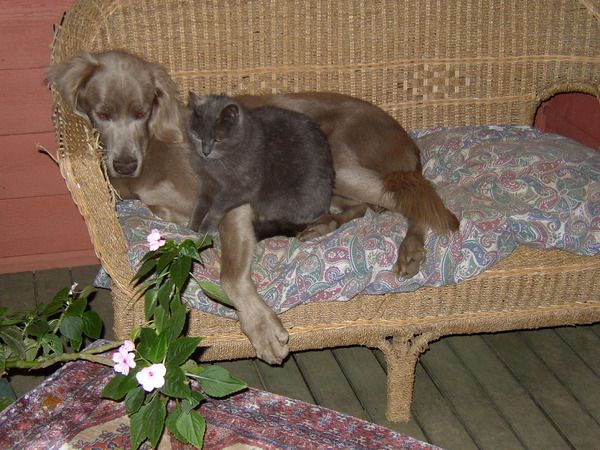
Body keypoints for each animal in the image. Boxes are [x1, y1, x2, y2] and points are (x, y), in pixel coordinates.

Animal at [186, 93, 335, 240]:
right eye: (198, 137)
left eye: (218, 139)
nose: (205, 152)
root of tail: (325, 209)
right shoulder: (208, 181)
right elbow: (201, 202)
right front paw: (193, 225)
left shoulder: (244, 186)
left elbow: (219, 203)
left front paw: (206, 226)